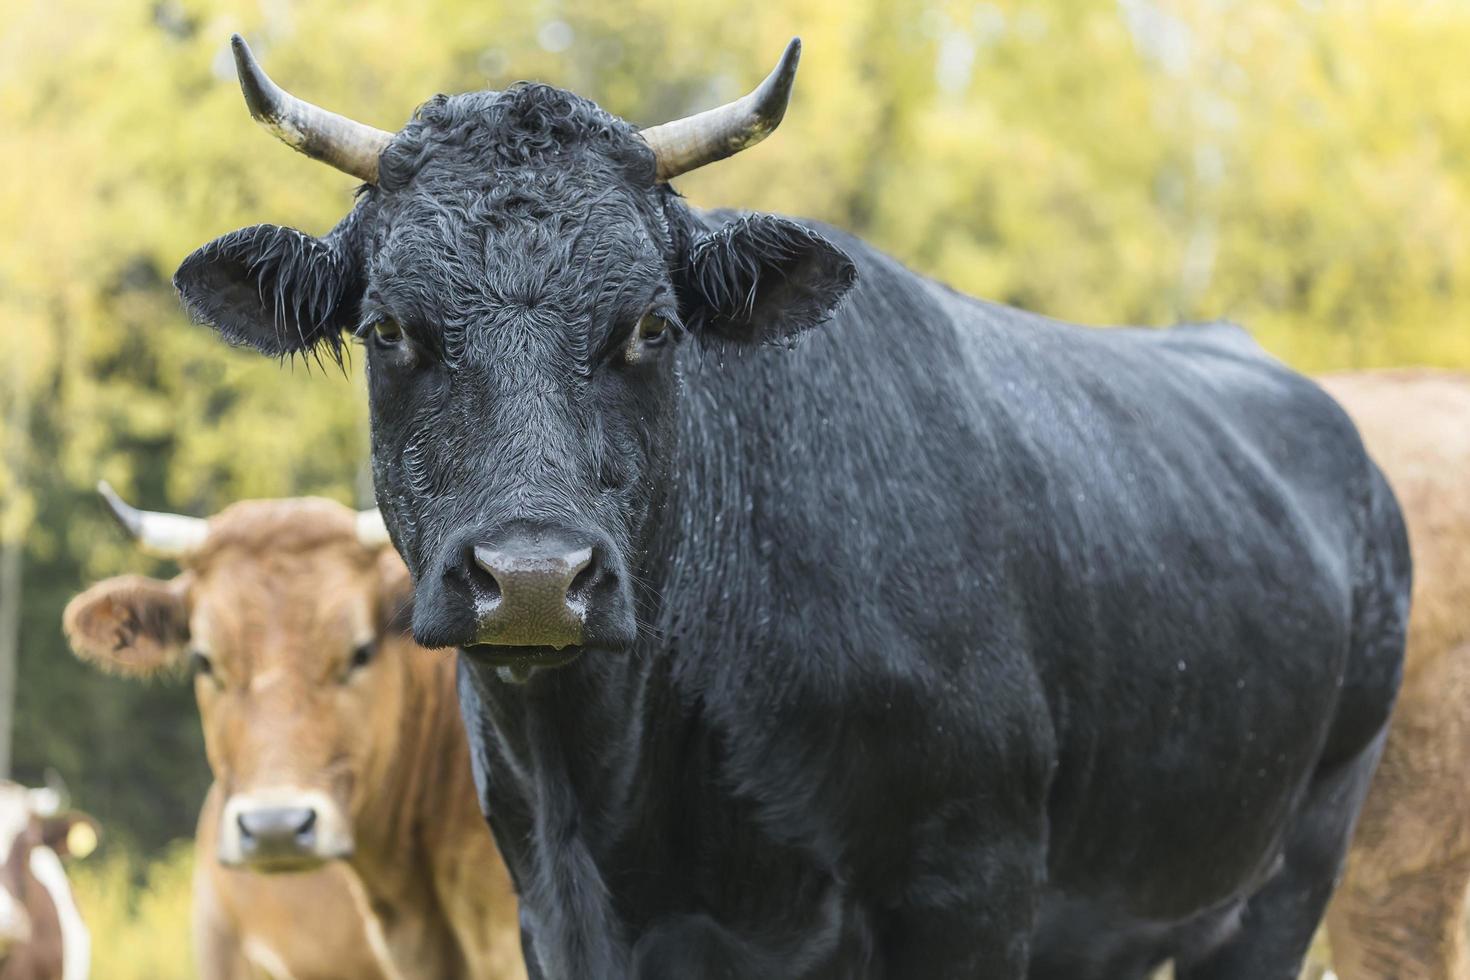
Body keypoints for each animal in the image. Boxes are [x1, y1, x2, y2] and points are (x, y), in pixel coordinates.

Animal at [171, 36, 1411, 980]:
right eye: (389, 329)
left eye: (653, 324)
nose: (532, 575)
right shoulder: (552, 902)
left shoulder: (971, 887)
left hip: (1293, 868)